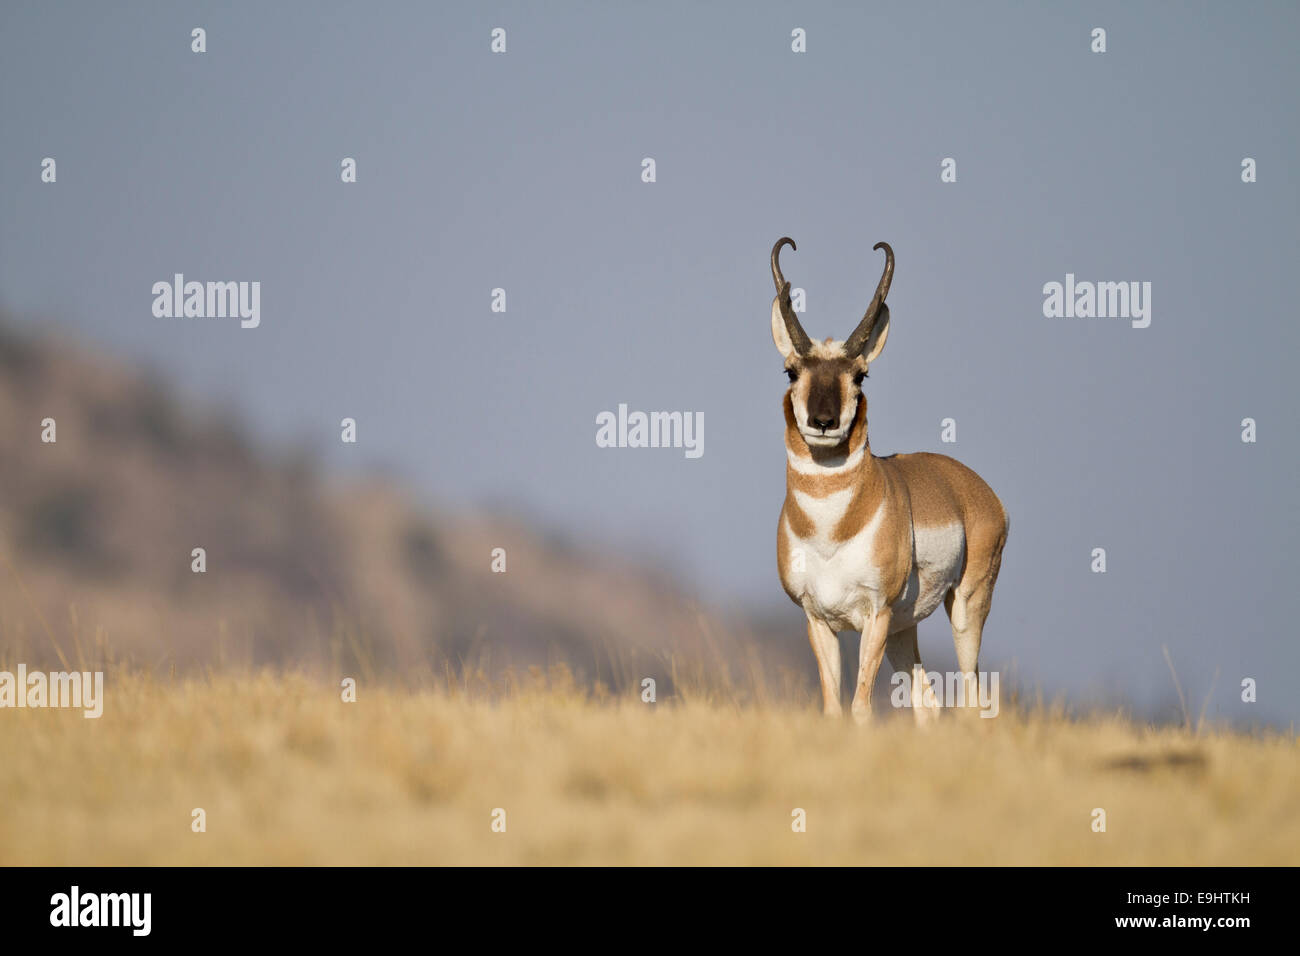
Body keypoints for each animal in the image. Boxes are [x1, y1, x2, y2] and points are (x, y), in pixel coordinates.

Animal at [770, 237, 1009, 725]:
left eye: (860, 374)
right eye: (791, 371)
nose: (824, 422)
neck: (831, 529)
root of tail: (973, 487)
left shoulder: (874, 615)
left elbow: (861, 707)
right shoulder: (818, 620)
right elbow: (834, 708)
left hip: (965, 608)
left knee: (972, 698)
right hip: (905, 630)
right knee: (927, 703)